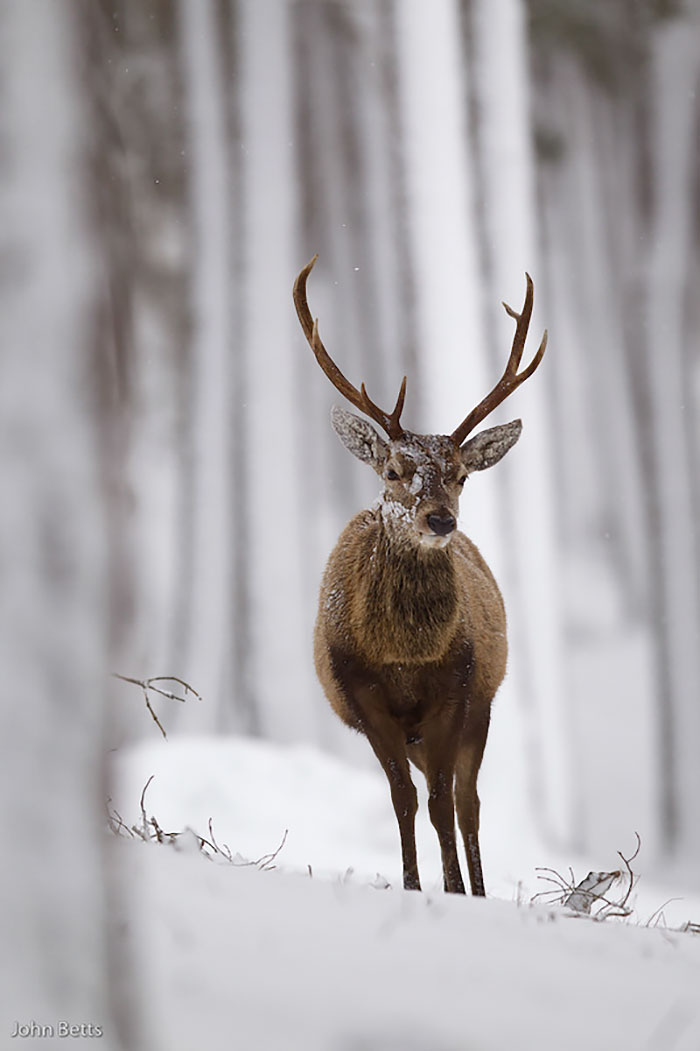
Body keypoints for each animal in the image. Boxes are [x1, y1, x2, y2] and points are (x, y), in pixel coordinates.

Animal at [293, 255, 547, 896]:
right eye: (392, 469)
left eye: (461, 474)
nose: (440, 519)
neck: (404, 656)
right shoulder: (362, 697)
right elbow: (403, 800)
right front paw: (413, 886)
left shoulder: (457, 689)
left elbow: (440, 803)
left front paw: (455, 890)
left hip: (481, 706)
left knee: (467, 803)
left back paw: (478, 887)